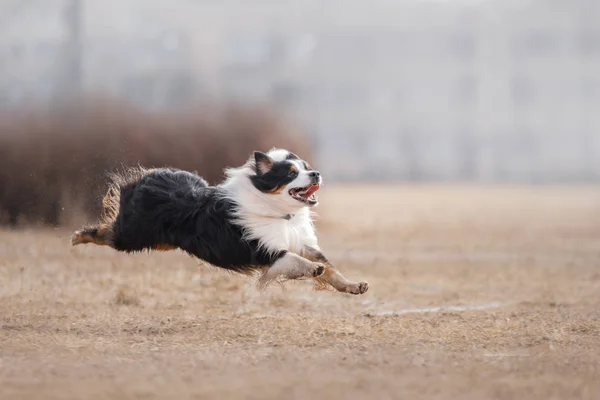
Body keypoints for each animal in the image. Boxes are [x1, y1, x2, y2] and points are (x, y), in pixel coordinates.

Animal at [72, 148, 368, 296]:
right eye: (291, 173)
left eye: (306, 168)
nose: (316, 173)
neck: (280, 213)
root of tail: (148, 177)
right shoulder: (265, 251)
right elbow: (299, 261)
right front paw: (314, 269)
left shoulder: (302, 243)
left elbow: (332, 269)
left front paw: (353, 286)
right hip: (134, 235)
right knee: (106, 232)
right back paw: (78, 236)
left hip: (161, 242)